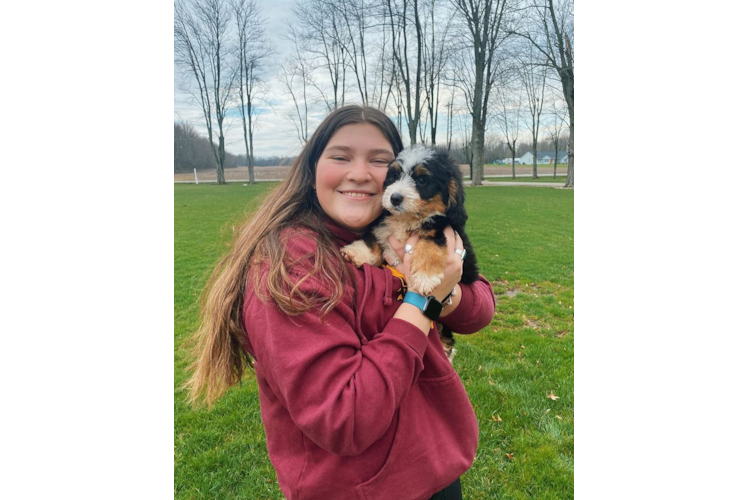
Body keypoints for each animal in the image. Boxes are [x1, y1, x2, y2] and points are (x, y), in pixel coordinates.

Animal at [340, 144, 480, 360]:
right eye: (394, 176)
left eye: (422, 180)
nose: (394, 198)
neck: (407, 219)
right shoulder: (382, 230)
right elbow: (374, 244)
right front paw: (357, 252)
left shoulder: (441, 230)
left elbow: (429, 245)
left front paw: (425, 277)